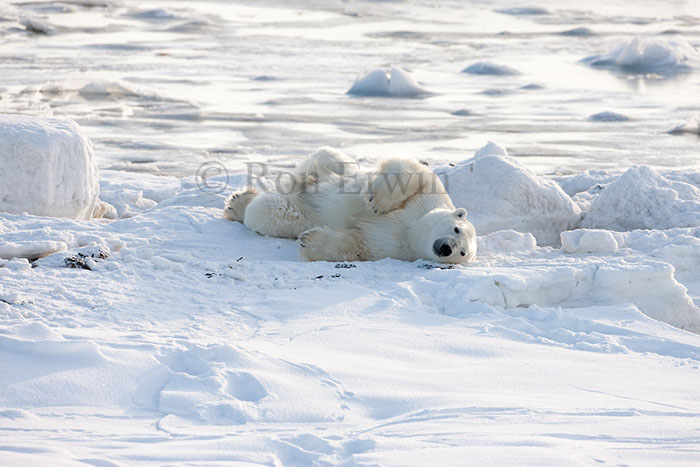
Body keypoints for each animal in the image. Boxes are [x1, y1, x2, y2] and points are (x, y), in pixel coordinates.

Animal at [223, 147, 477, 263]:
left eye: (462, 252)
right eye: (456, 228)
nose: (446, 248)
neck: (413, 230)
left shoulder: (390, 248)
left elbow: (356, 244)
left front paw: (309, 241)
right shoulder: (429, 199)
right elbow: (413, 171)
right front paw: (377, 203)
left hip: (297, 212)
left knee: (268, 211)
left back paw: (240, 204)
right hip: (331, 165)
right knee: (326, 160)